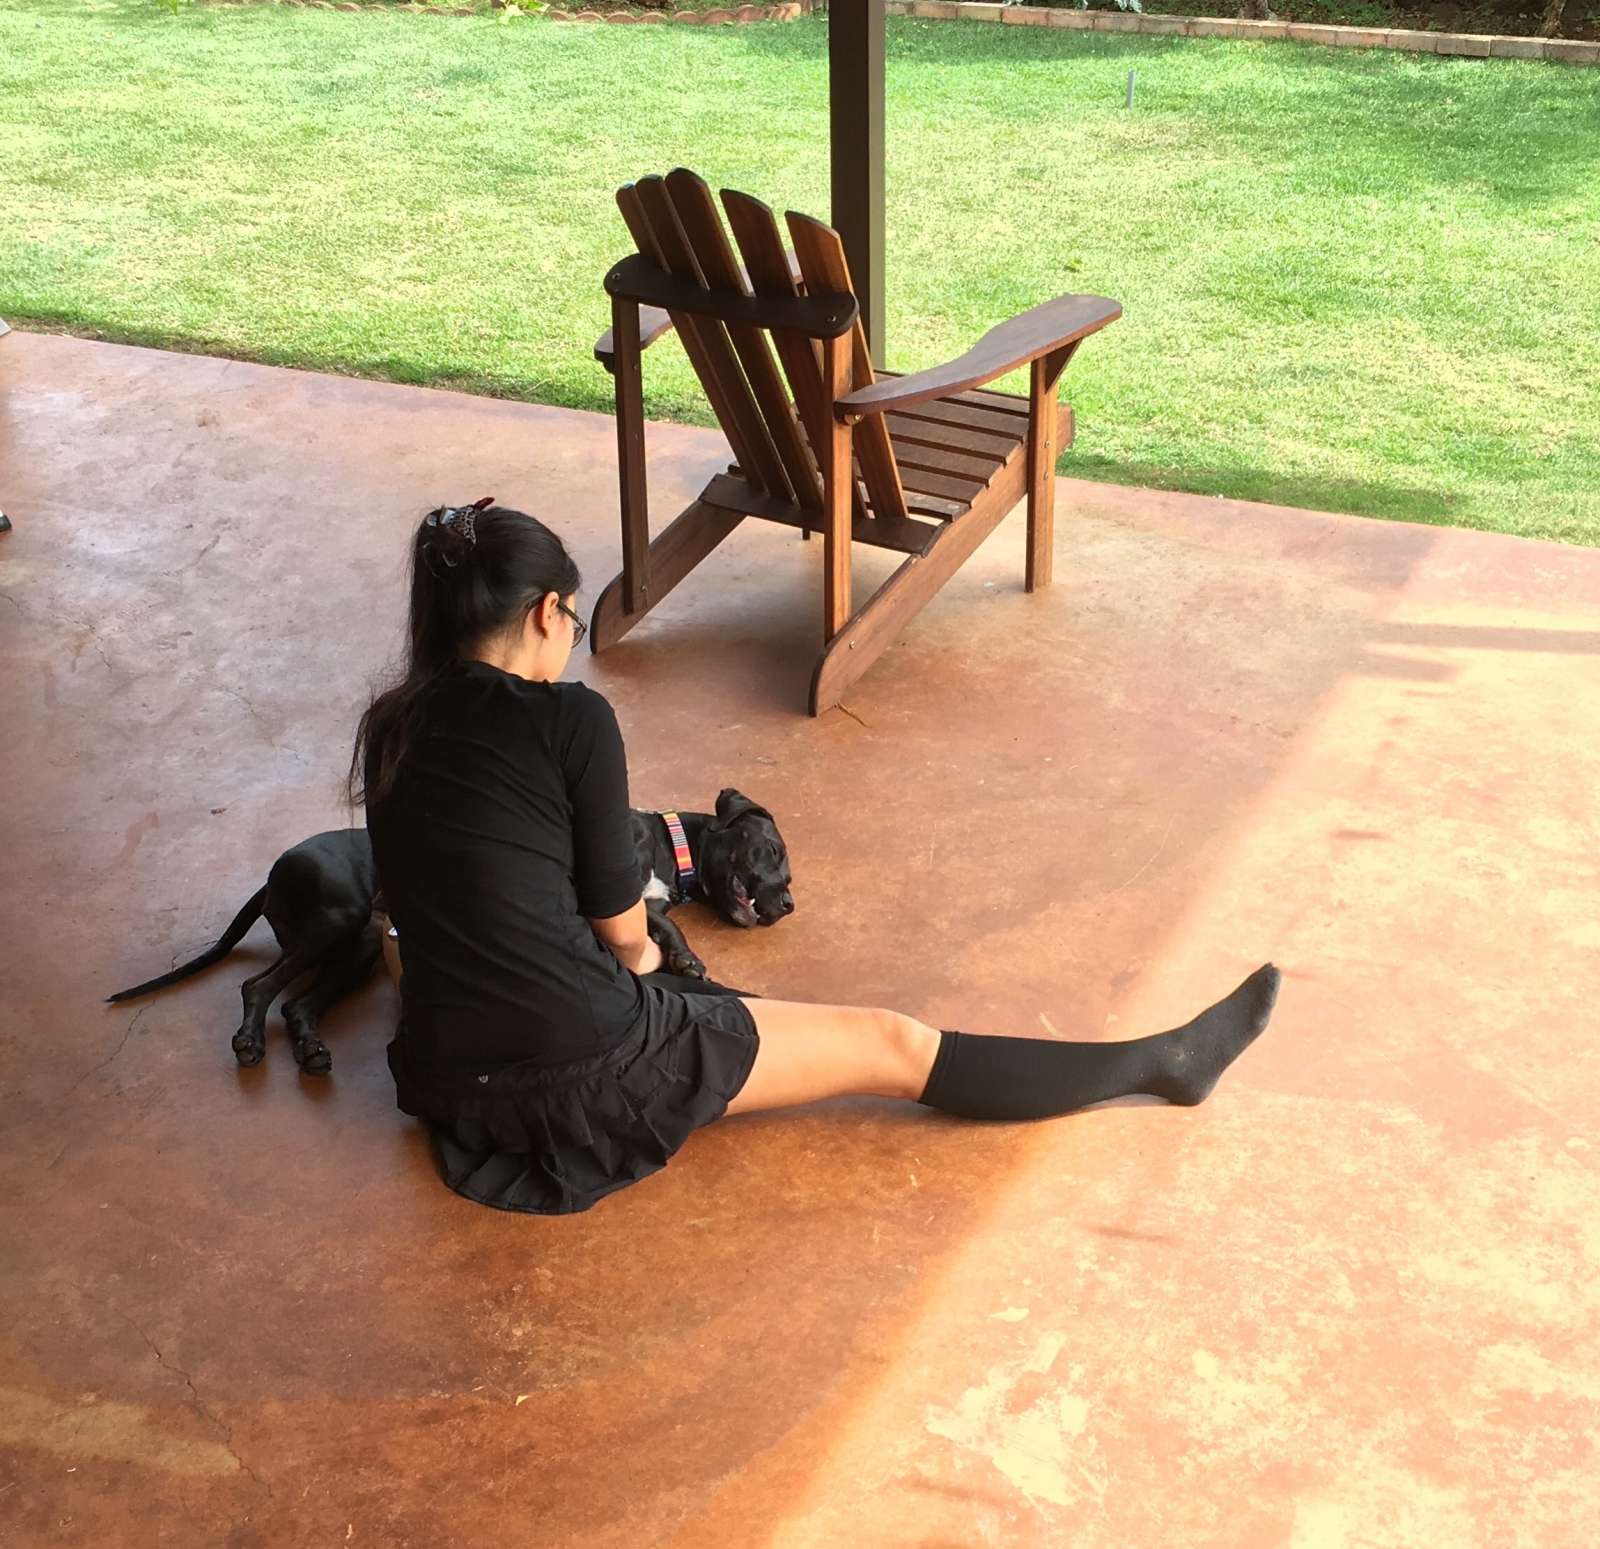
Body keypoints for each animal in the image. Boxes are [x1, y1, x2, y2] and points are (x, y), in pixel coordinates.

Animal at [107, 789, 793, 1071]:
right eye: (772, 851)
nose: (787, 905)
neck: (667, 841)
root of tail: (273, 872)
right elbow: (659, 926)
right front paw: (686, 958)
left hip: (357, 947)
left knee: (297, 1004)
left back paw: (311, 1049)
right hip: (335, 921)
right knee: (257, 986)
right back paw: (248, 1042)